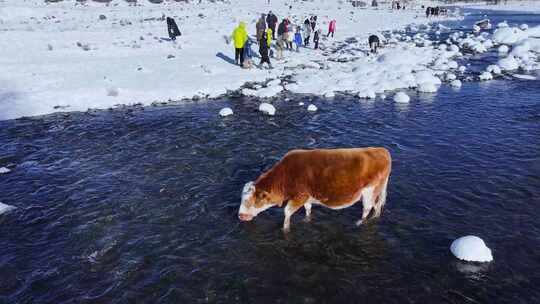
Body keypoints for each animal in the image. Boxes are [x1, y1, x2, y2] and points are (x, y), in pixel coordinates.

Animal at [238, 148, 390, 232]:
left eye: (249, 201)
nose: (240, 216)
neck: (285, 176)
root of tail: (382, 150)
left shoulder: (300, 195)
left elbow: (287, 212)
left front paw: (285, 228)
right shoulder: (307, 197)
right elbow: (308, 209)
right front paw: (307, 219)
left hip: (369, 191)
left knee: (367, 208)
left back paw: (360, 222)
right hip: (376, 191)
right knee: (376, 207)